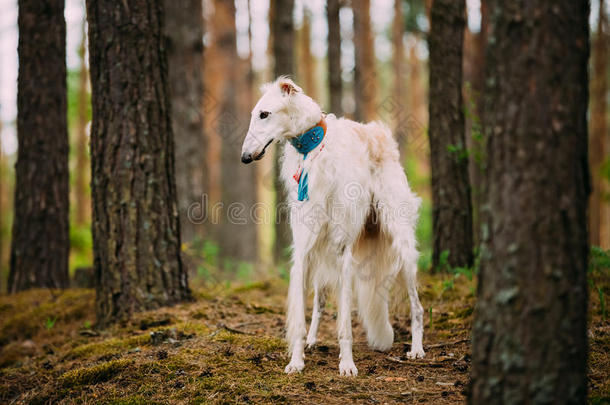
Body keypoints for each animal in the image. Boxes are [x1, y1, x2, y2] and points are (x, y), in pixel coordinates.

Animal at [239, 76, 422, 376]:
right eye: (254, 114)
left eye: (264, 114)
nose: (244, 157)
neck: (313, 152)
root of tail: (379, 133)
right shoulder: (303, 249)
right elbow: (301, 317)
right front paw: (296, 360)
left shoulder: (343, 250)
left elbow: (345, 322)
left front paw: (347, 364)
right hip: (320, 253)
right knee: (319, 302)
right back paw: (313, 340)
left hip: (402, 245)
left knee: (417, 307)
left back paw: (417, 348)